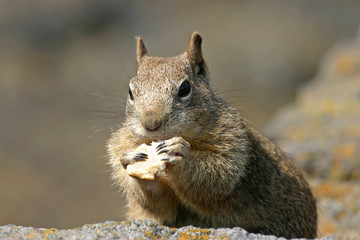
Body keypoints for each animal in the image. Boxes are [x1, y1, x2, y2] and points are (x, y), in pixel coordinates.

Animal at [107, 31, 318, 238]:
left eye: (185, 88)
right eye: (130, 91)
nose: (150, 123)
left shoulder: (233, 146)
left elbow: (216, 176)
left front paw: (179, 152)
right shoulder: (120, 145)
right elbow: (157, 205)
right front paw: (131, 160)